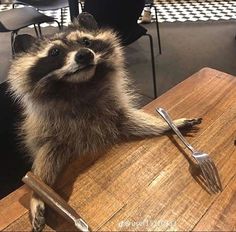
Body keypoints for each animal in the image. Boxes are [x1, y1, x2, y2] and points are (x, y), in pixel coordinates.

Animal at [8, 13, 201, 232]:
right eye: (55, 52)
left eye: (86, 41)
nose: (84, 54)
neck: (80, 86)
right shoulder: (50, 130)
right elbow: (45, 158)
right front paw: (38, 193)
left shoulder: (112, 111)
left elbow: (131, 120)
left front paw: (169, 124)